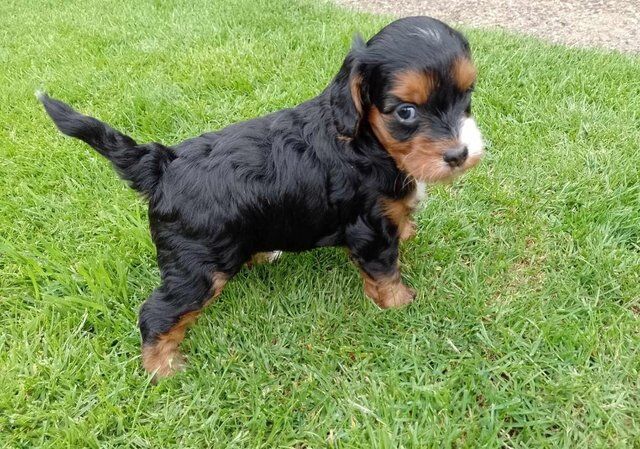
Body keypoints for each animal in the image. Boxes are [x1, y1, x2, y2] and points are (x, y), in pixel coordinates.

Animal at [37, 16, 482, 378]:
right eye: (405, 112)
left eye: (467, 96)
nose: (459, 155)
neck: (366, 140)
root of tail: (163, 164)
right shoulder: (368, 227)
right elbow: (384, 269)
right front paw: (400, 304)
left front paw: (408, 232)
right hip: (198, 266)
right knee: (156, 312)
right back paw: (161, 367)